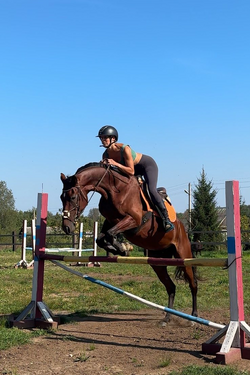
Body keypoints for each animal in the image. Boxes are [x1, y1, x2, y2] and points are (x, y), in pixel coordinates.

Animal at [60, 162, 197, 324]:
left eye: (73, 197)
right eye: (61, 197)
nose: (66, 227)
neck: (114, 190)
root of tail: (182, 228)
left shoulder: (133, 220)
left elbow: (110, 234)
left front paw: (123, 247)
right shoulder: (110, 221)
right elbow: (101, 238)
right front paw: (120, 248)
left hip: (184, 256)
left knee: (193, 284)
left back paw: (194, 317)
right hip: (157, 262)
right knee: (171, 287)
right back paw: (167, 318)